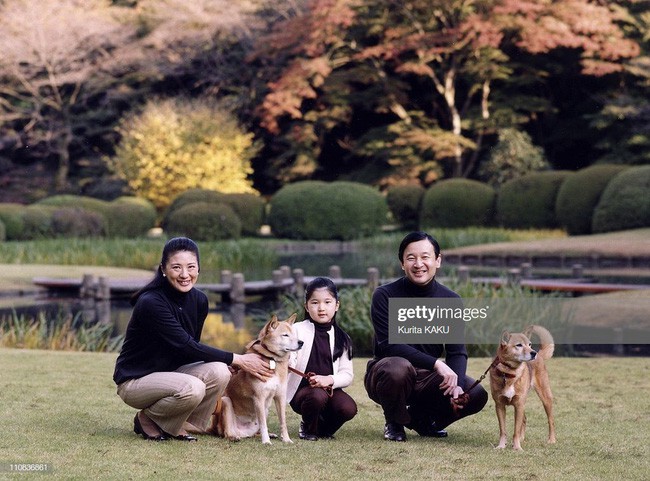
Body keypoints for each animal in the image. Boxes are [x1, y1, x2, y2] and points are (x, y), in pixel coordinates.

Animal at [209, 314, 302, 444]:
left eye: (294, 334)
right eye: (285, 335)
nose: (301, 342)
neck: (272, 359)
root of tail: (244, 433)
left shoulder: (280, 397)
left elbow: (283, 422)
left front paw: (286, 439)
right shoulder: (259, 398)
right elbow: (264, 425)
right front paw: (266, 441)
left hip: (265, 410)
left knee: (254, 433)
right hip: (226, 402)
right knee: (227, 433)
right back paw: (234, 437)